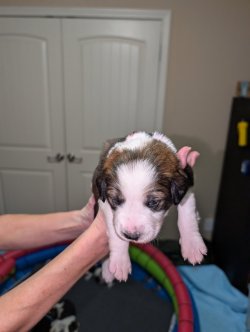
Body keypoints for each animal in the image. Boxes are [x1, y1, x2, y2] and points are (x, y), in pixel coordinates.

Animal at [93, 131, 206, 282]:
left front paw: (192, 246)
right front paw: (120, 262)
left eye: (153, 202)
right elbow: (115, 233)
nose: (131, 235)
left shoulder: (186, 187)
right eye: (115, 200)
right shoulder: (103, 201)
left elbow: (187, 217)